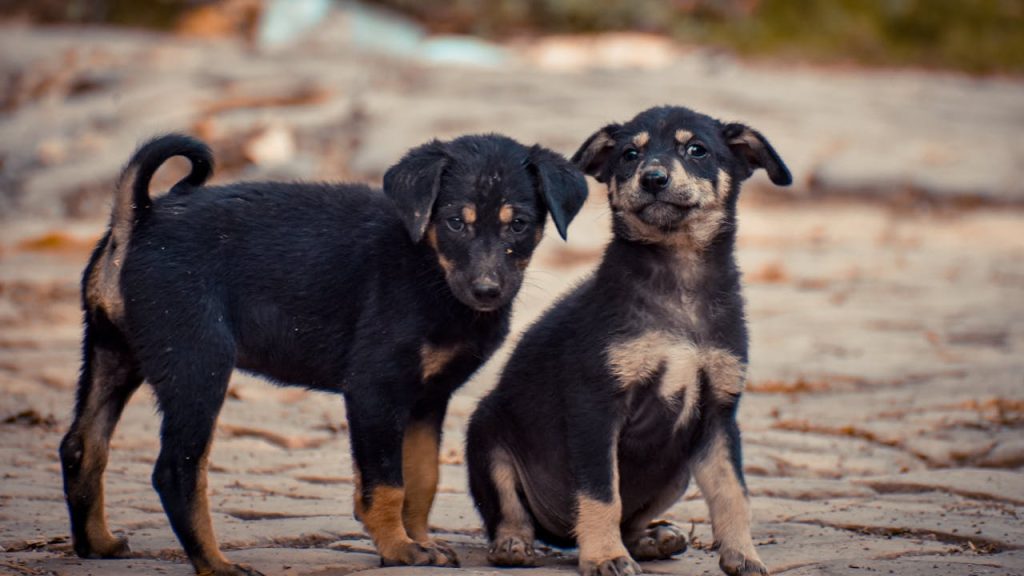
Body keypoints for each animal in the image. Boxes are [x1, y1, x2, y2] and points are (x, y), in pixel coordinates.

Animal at [59, 132, 589, 569]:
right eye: (457, 222)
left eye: (519, 225)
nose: (487, 290)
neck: (429, 266)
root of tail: (138, 218)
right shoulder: (375, 389)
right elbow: (387, 484)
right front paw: (399, 549)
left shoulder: (426, 400)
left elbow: (422, 480)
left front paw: (419, 541)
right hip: (198, 364)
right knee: (176, 470)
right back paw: (216, 565)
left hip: (115, 353)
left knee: (82, 446)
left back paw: (97, 544)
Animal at [468, 104, 794, 573]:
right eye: (629, 155)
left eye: (696, 150)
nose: (653, 178)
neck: (679, 281)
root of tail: (561, 537)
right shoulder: (597, 405)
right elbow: (602, 494)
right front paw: (605, 557)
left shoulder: (719, 415)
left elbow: (733, 493)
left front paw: (744, 556)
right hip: (485, 431)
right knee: (510, 511)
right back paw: (514, 544)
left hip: (678, 468)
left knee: (632, 518)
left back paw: (652, 539)